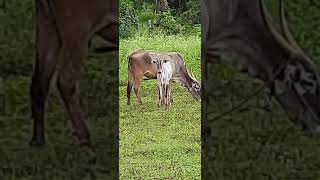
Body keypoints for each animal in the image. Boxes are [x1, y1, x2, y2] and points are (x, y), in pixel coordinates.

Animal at [30, 0, 119, 146]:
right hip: (77, 32)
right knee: (65, 80)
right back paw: (85, 137)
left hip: (48, 24)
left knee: (40, 82)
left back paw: (38, 141)